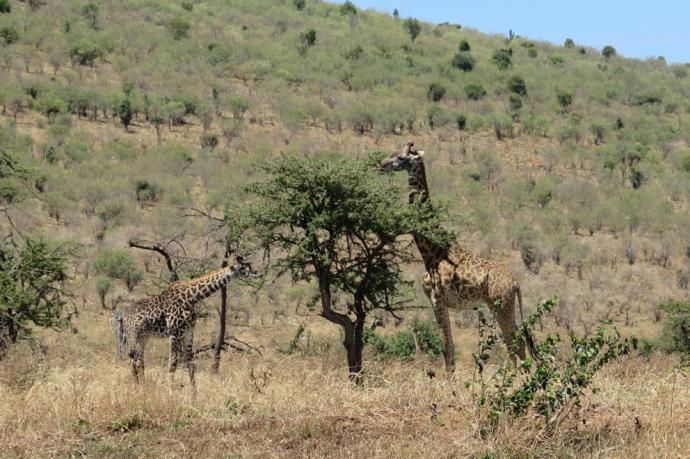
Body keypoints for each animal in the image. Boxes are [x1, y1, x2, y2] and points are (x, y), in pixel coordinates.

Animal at [120, 260, 255, 390]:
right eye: (242, 268)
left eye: (249, 265)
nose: (256, 273)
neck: (191, 298)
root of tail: (124, 317)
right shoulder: (173, 333)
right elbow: (173, 364)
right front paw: (170, 392)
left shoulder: (189, 332)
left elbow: (190, 364)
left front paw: (194, 394)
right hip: (136, 335)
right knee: (138, 362)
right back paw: (143, 389)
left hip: (143, 337)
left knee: (133, 362)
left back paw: (137, 388)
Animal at [378, 143, 528, 374]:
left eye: (402, 157)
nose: (382, 164)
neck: (432, 251)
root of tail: (515, 282)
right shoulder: (443, 303)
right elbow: (449, 347)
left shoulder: (437, 299)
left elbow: (446, 347)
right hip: (506, 305)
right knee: (519, 342)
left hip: (500, 304)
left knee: (513, 343)